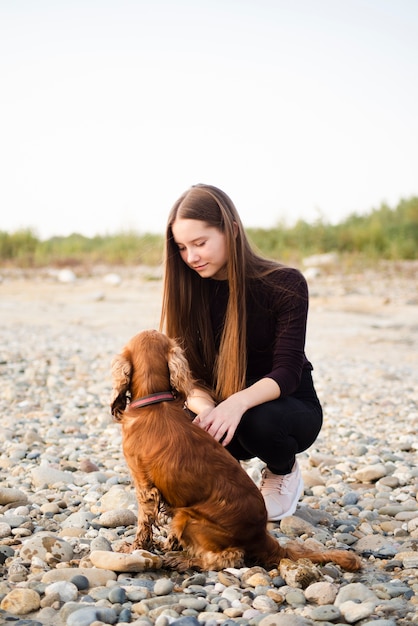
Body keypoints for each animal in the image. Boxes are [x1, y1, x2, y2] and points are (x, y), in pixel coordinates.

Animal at [111, 330, 362, 572]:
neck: (153, 403)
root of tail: (261, 536)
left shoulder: (144, 486)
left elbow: (143, 522)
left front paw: (133, 548)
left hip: (187, 517)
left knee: (228, 557)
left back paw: (183, 561)